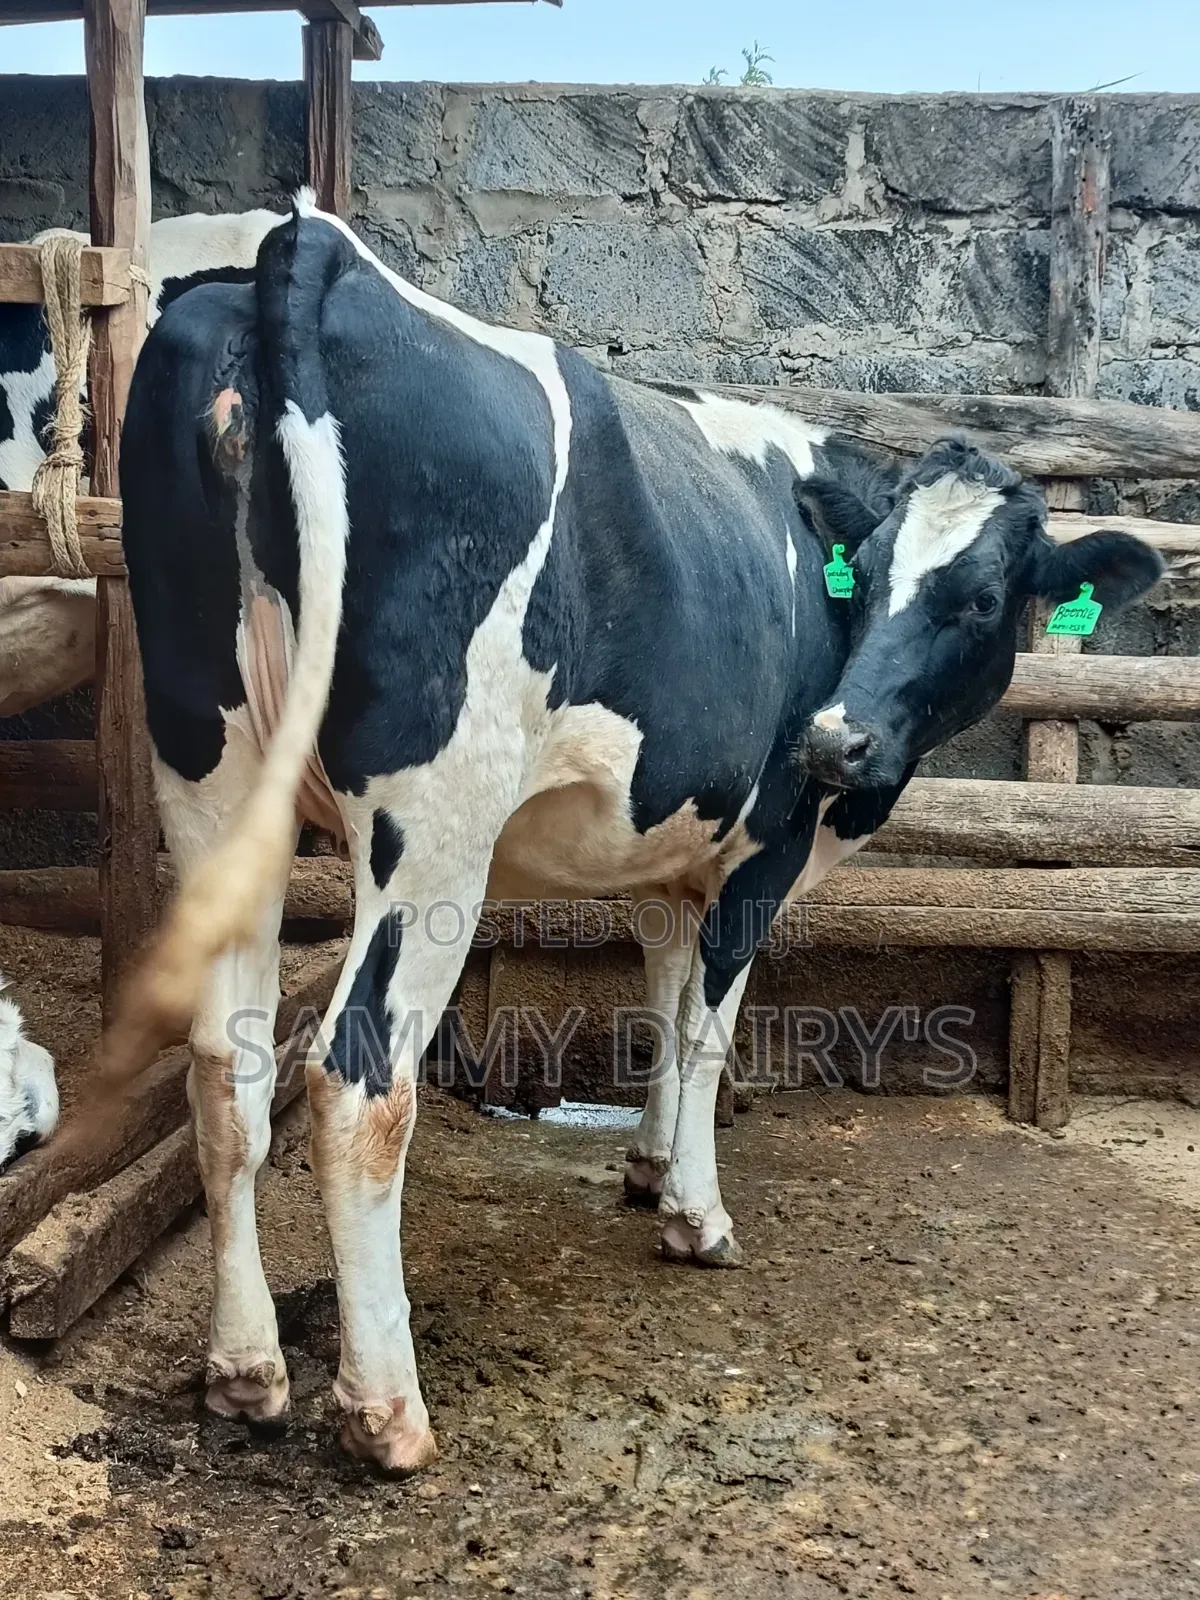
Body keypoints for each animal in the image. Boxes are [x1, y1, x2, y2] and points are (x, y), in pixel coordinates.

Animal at [69, 194, 1161, 1474]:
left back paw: (244, 1370)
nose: (835, 741)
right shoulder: (763, 846)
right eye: (873, 572)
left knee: (226, 1072)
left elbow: (661, 988)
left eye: (979, 595)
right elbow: (708, 1023)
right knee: (358, 1073)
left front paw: (645, 1158)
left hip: (210, 776)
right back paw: (385, 1410)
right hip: (434, 822)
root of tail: (311, 254)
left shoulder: (671, 847)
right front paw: (696, 1210)